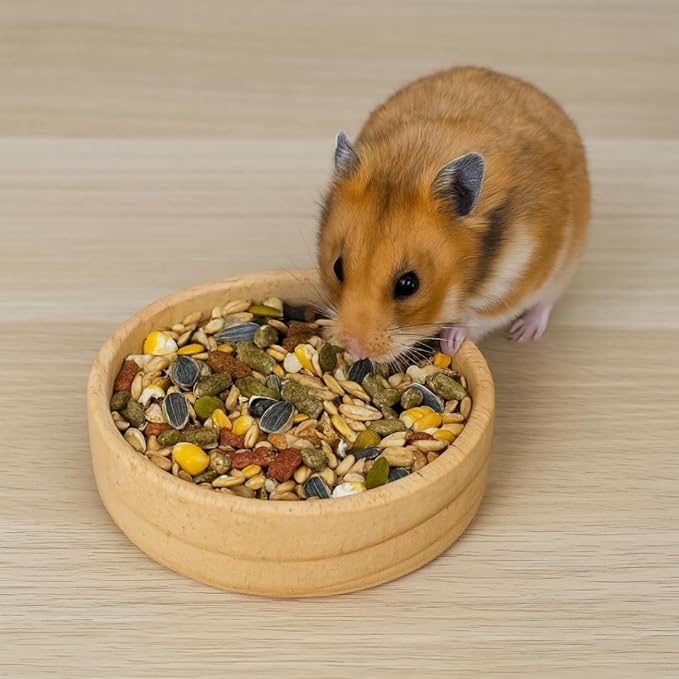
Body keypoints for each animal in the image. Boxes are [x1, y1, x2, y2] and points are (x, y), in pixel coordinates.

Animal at [317, 66, 590, 361]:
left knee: (545, 303)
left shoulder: (518, 282)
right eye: (337, 267)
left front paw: (449, 342)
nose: (354, 350)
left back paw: (523, 333)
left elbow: (477, 317)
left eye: (408, 285)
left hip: (566, 266)